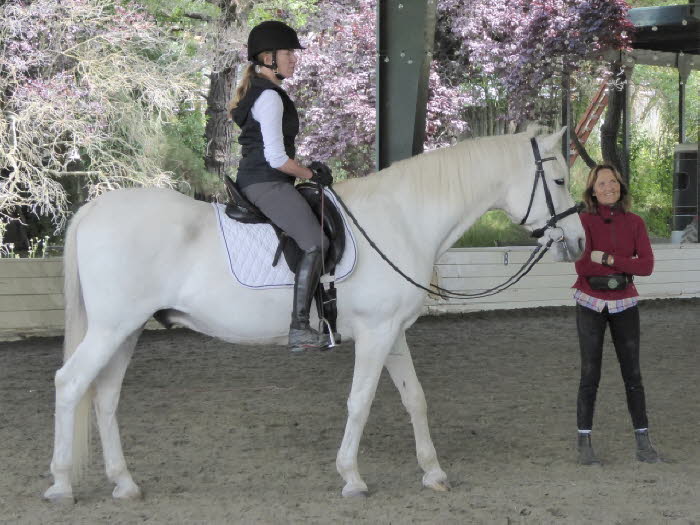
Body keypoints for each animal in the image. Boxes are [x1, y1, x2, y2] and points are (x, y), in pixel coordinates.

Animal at [43, 126, 584, 500]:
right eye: (558, 179)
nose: (578, 243)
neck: (402, 219)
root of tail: (93, 210)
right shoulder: (375, 335)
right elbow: (360, 402)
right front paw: (352, 478)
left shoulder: (393, 333)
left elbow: (415, 399)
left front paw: (433, 472)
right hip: (112, 329)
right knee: (70, 385)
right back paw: (62, 484)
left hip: (127, 331)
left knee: (106, 398)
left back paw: (124, 484)